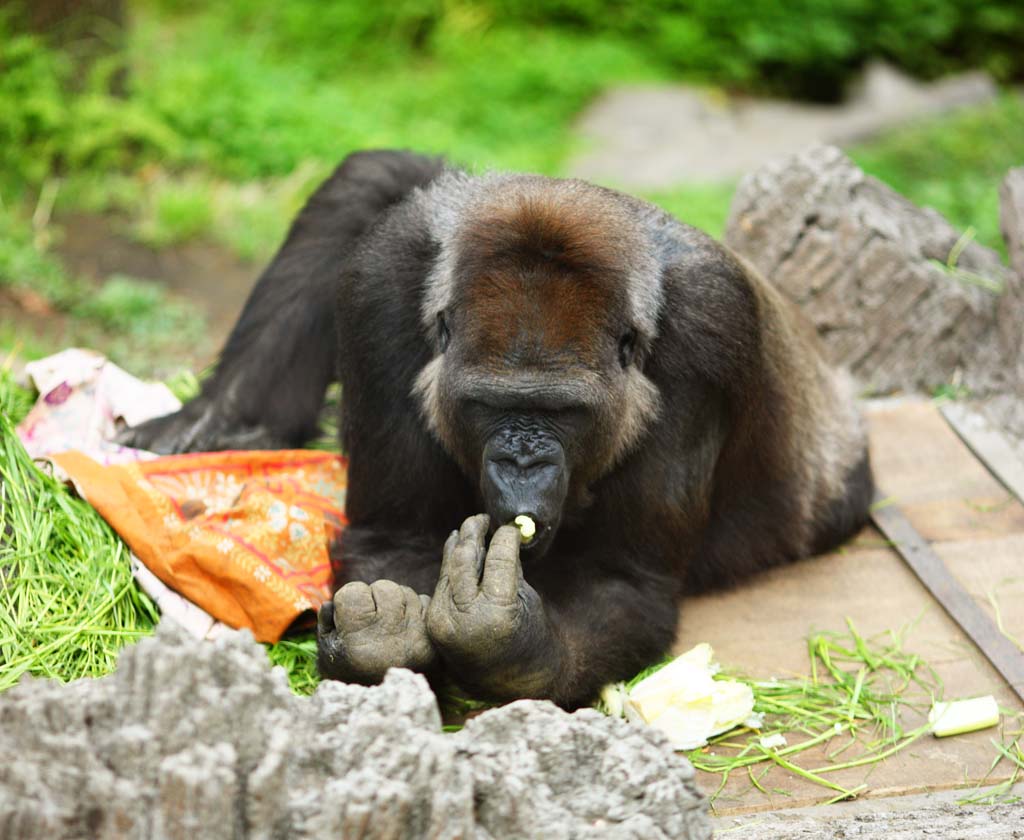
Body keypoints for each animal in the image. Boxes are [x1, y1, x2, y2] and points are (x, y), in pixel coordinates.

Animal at [119, 149, 872, 708]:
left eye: (564, 413)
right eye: (490, 405)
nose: (522, 463)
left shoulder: (710, 331)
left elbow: (620, 579)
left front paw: (511, 649)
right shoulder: (381, 287)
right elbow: (394, 536)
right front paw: (382, 645)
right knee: (380, 175)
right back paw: (217, 422)